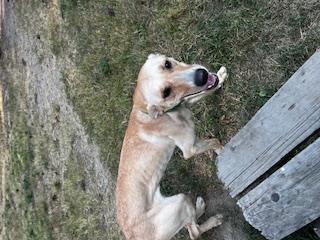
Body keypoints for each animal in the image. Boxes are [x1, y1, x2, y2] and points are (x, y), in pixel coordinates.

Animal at [117, 54, 228, 240]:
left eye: (167, 64)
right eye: (166, 92)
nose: (201, 75)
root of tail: (130, 235)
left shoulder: (185, 101)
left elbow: (201, 92)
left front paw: (219, 77)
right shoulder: (189, 149)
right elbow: (214, 141)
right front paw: (222, 150)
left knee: (191, 225)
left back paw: (199, 207)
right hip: (179, 203)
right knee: (195, 232)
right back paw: (213, 219)